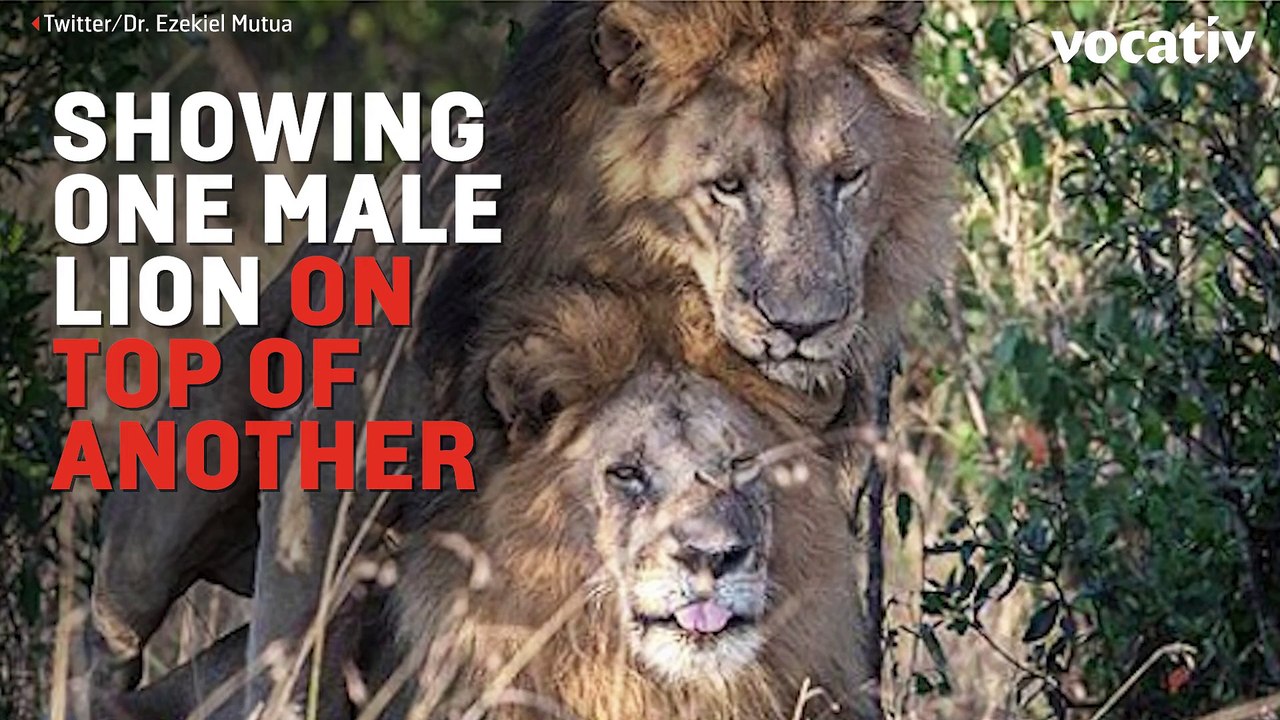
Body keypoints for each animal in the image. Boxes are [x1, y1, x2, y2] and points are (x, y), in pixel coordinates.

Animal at [88, 2, 951, 715]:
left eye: (848, 177)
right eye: (726, 186)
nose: (806, 327)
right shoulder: (327, 491)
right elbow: (294, 652)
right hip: (160, 525)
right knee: (113, 644)